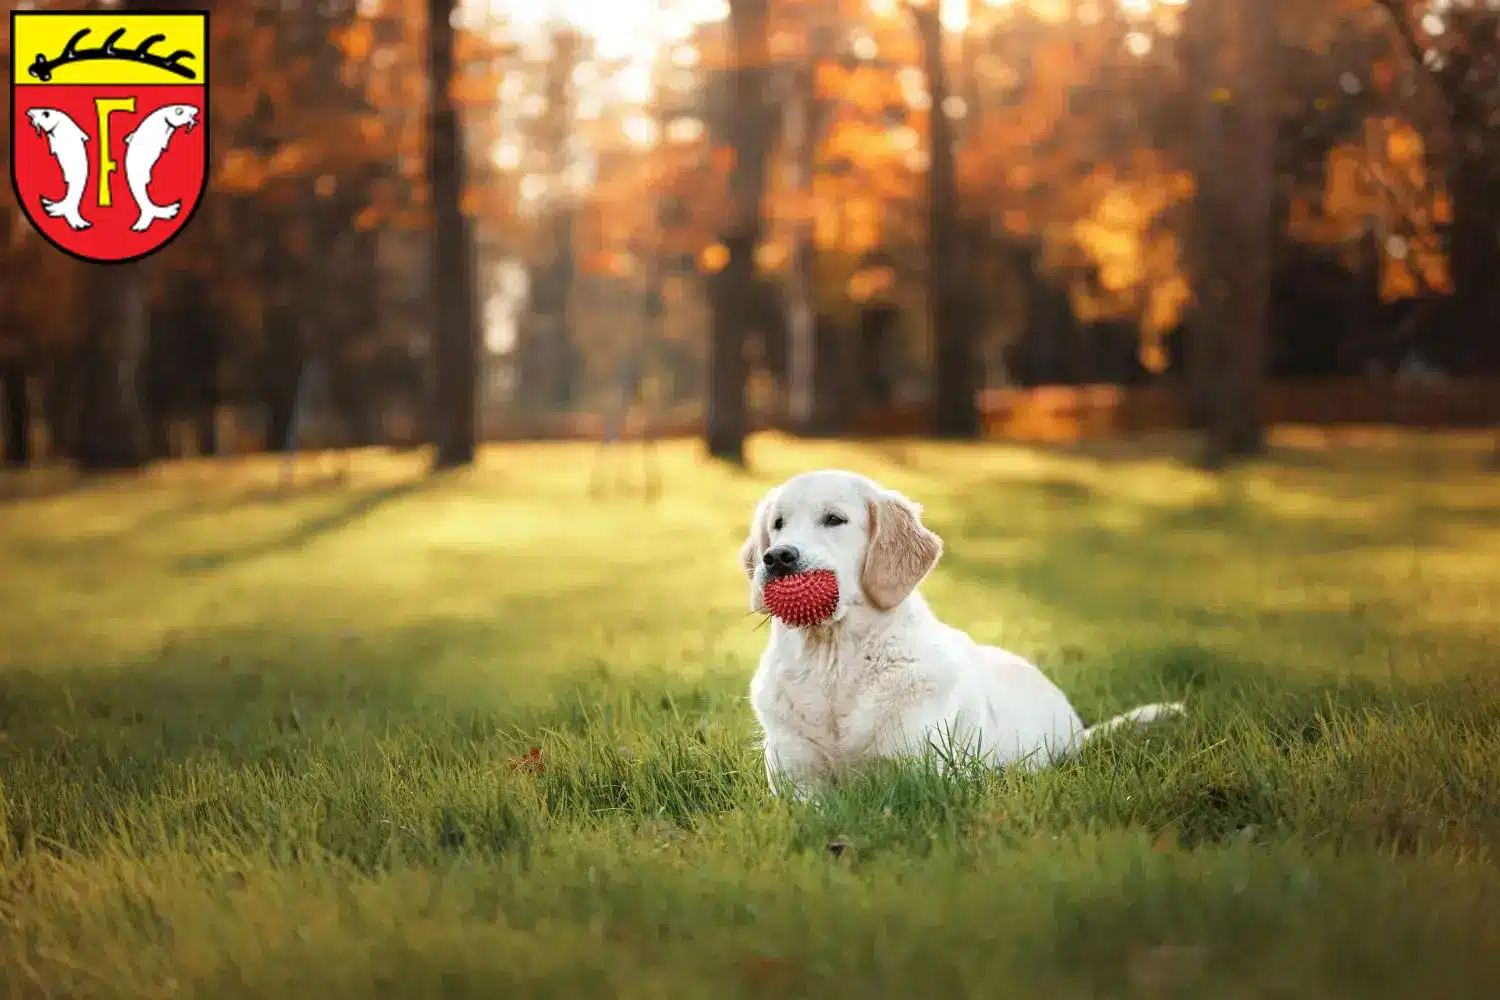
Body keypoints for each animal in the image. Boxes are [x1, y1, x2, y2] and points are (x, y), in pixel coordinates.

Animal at [741, 470, 1182, 797]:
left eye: (834, 519)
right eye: (777, 524)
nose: (777, 557)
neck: (832, 660)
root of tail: (1077, 730)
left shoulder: (919, 776)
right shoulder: (795, 779)